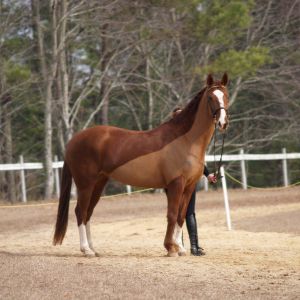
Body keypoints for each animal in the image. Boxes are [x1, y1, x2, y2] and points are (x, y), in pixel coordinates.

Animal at [52, 74, 229, 256]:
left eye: (225, 95)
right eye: (210, 97)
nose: (223, 123)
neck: (185, 140)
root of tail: (74, 140)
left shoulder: (189, 186)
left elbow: (181, 216)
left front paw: (179, 248)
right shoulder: (176, 184)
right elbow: (172, 214)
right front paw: (170, 247)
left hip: (98, 184)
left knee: (88, 212)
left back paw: (93, 249)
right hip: (85, 184)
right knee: (80, 211)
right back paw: (86, 249)